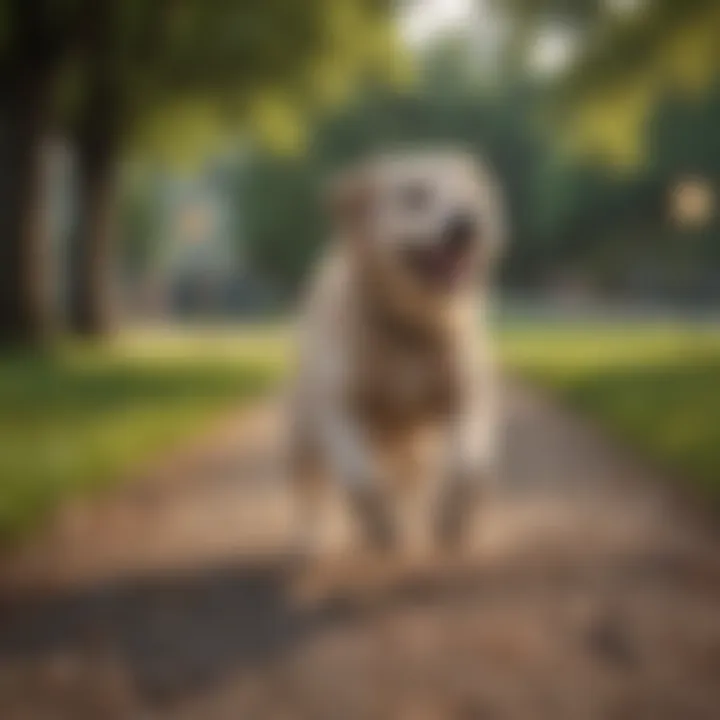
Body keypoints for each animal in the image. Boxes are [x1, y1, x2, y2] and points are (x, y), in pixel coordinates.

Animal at [284, 149, 504, 548]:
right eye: (413, 195)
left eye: (469, 197)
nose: (467, 225)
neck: (409, 332)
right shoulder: (339, 407)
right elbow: (359, 476)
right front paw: (380, 525)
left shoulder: (469, 393)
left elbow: (468, 464)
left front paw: (453, 518)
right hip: (301, 437)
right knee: (310, 489)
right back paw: (314, 536)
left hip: (414, 446)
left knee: (413, 480)